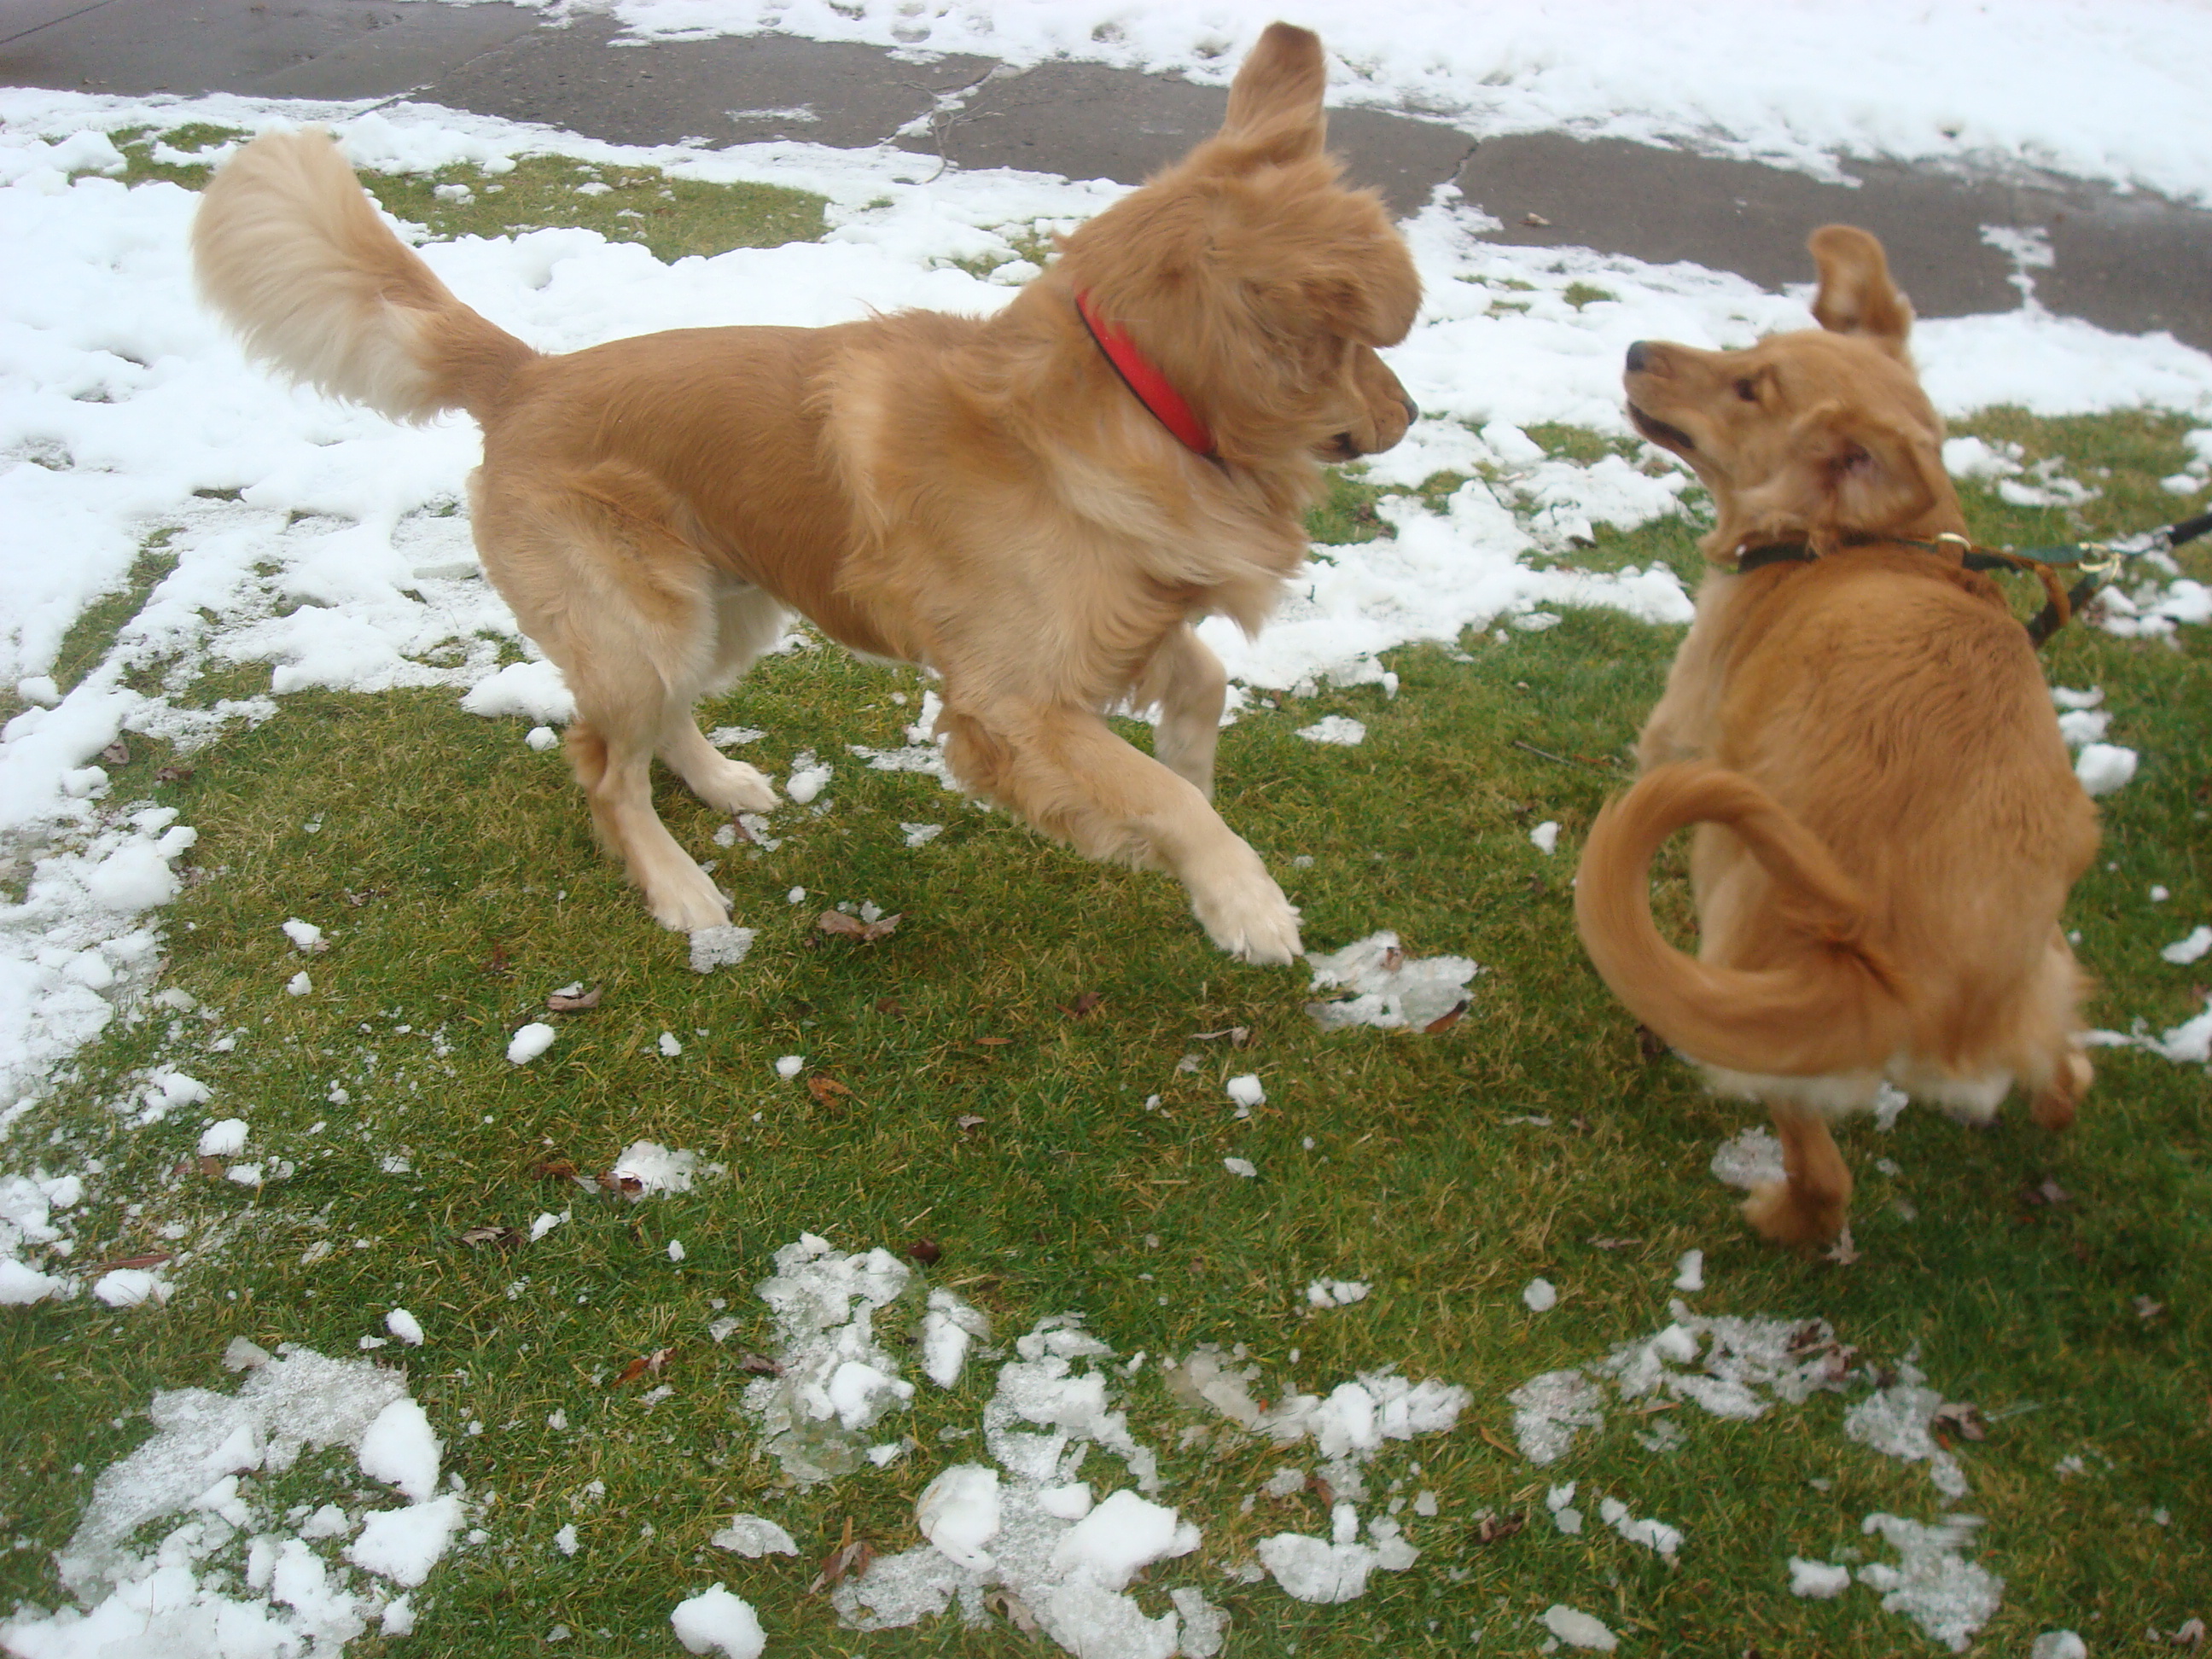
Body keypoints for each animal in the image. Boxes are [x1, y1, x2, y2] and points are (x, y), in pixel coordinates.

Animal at [190, 22, 1419, 963]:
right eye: (1367, 346)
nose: (1409, 417)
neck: (1120, 396)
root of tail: (527, 374)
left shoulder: (1115, 622)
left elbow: (1203, 690)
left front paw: (1194, 785)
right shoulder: (1011, 700)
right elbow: (1163, 797)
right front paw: (1242, 899)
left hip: (726, 608)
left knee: (664, 725)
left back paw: (722, 782)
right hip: (640, 622)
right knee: (603, 767)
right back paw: (678, 888)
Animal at [1574, 225, 2098, 1247]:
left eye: (1749, 389)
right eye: (1749, 348)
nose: (1636, 350)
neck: (1864, 542)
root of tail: (1913, 975)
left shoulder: (1678, 725)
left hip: (1743, 923)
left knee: (1826, 1181)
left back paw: (1780, 1215)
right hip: (2046, 965)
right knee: (2066, 1070)